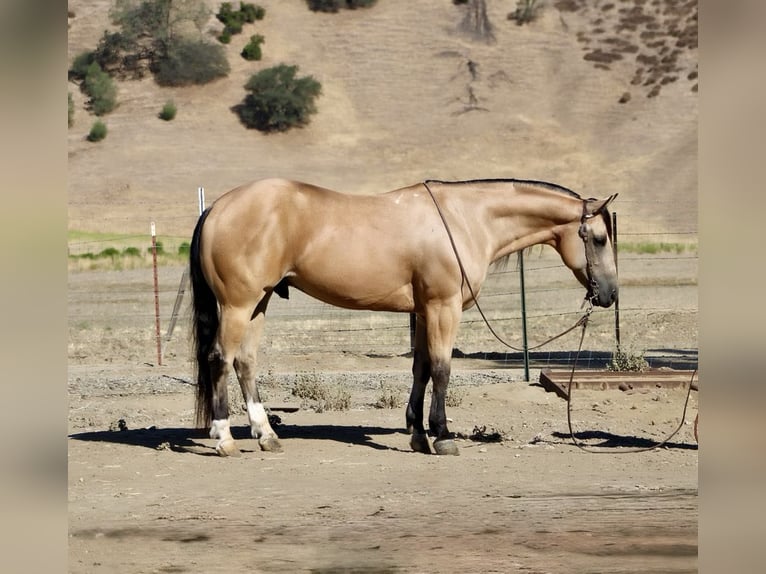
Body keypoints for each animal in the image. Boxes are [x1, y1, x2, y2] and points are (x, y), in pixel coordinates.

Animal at [189, 177, 618, 457]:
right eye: (599, 239)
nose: (610, 294)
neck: (465, 220)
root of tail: (217, 207)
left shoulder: (425, 311)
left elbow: (422, 369)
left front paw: (418, 434)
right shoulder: (443, 308)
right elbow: (442, 370)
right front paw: (442, 436)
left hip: (258, 303)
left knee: (245, 363)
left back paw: (266, 435)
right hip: (238, 304)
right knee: (220, 360)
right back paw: (224, 438)